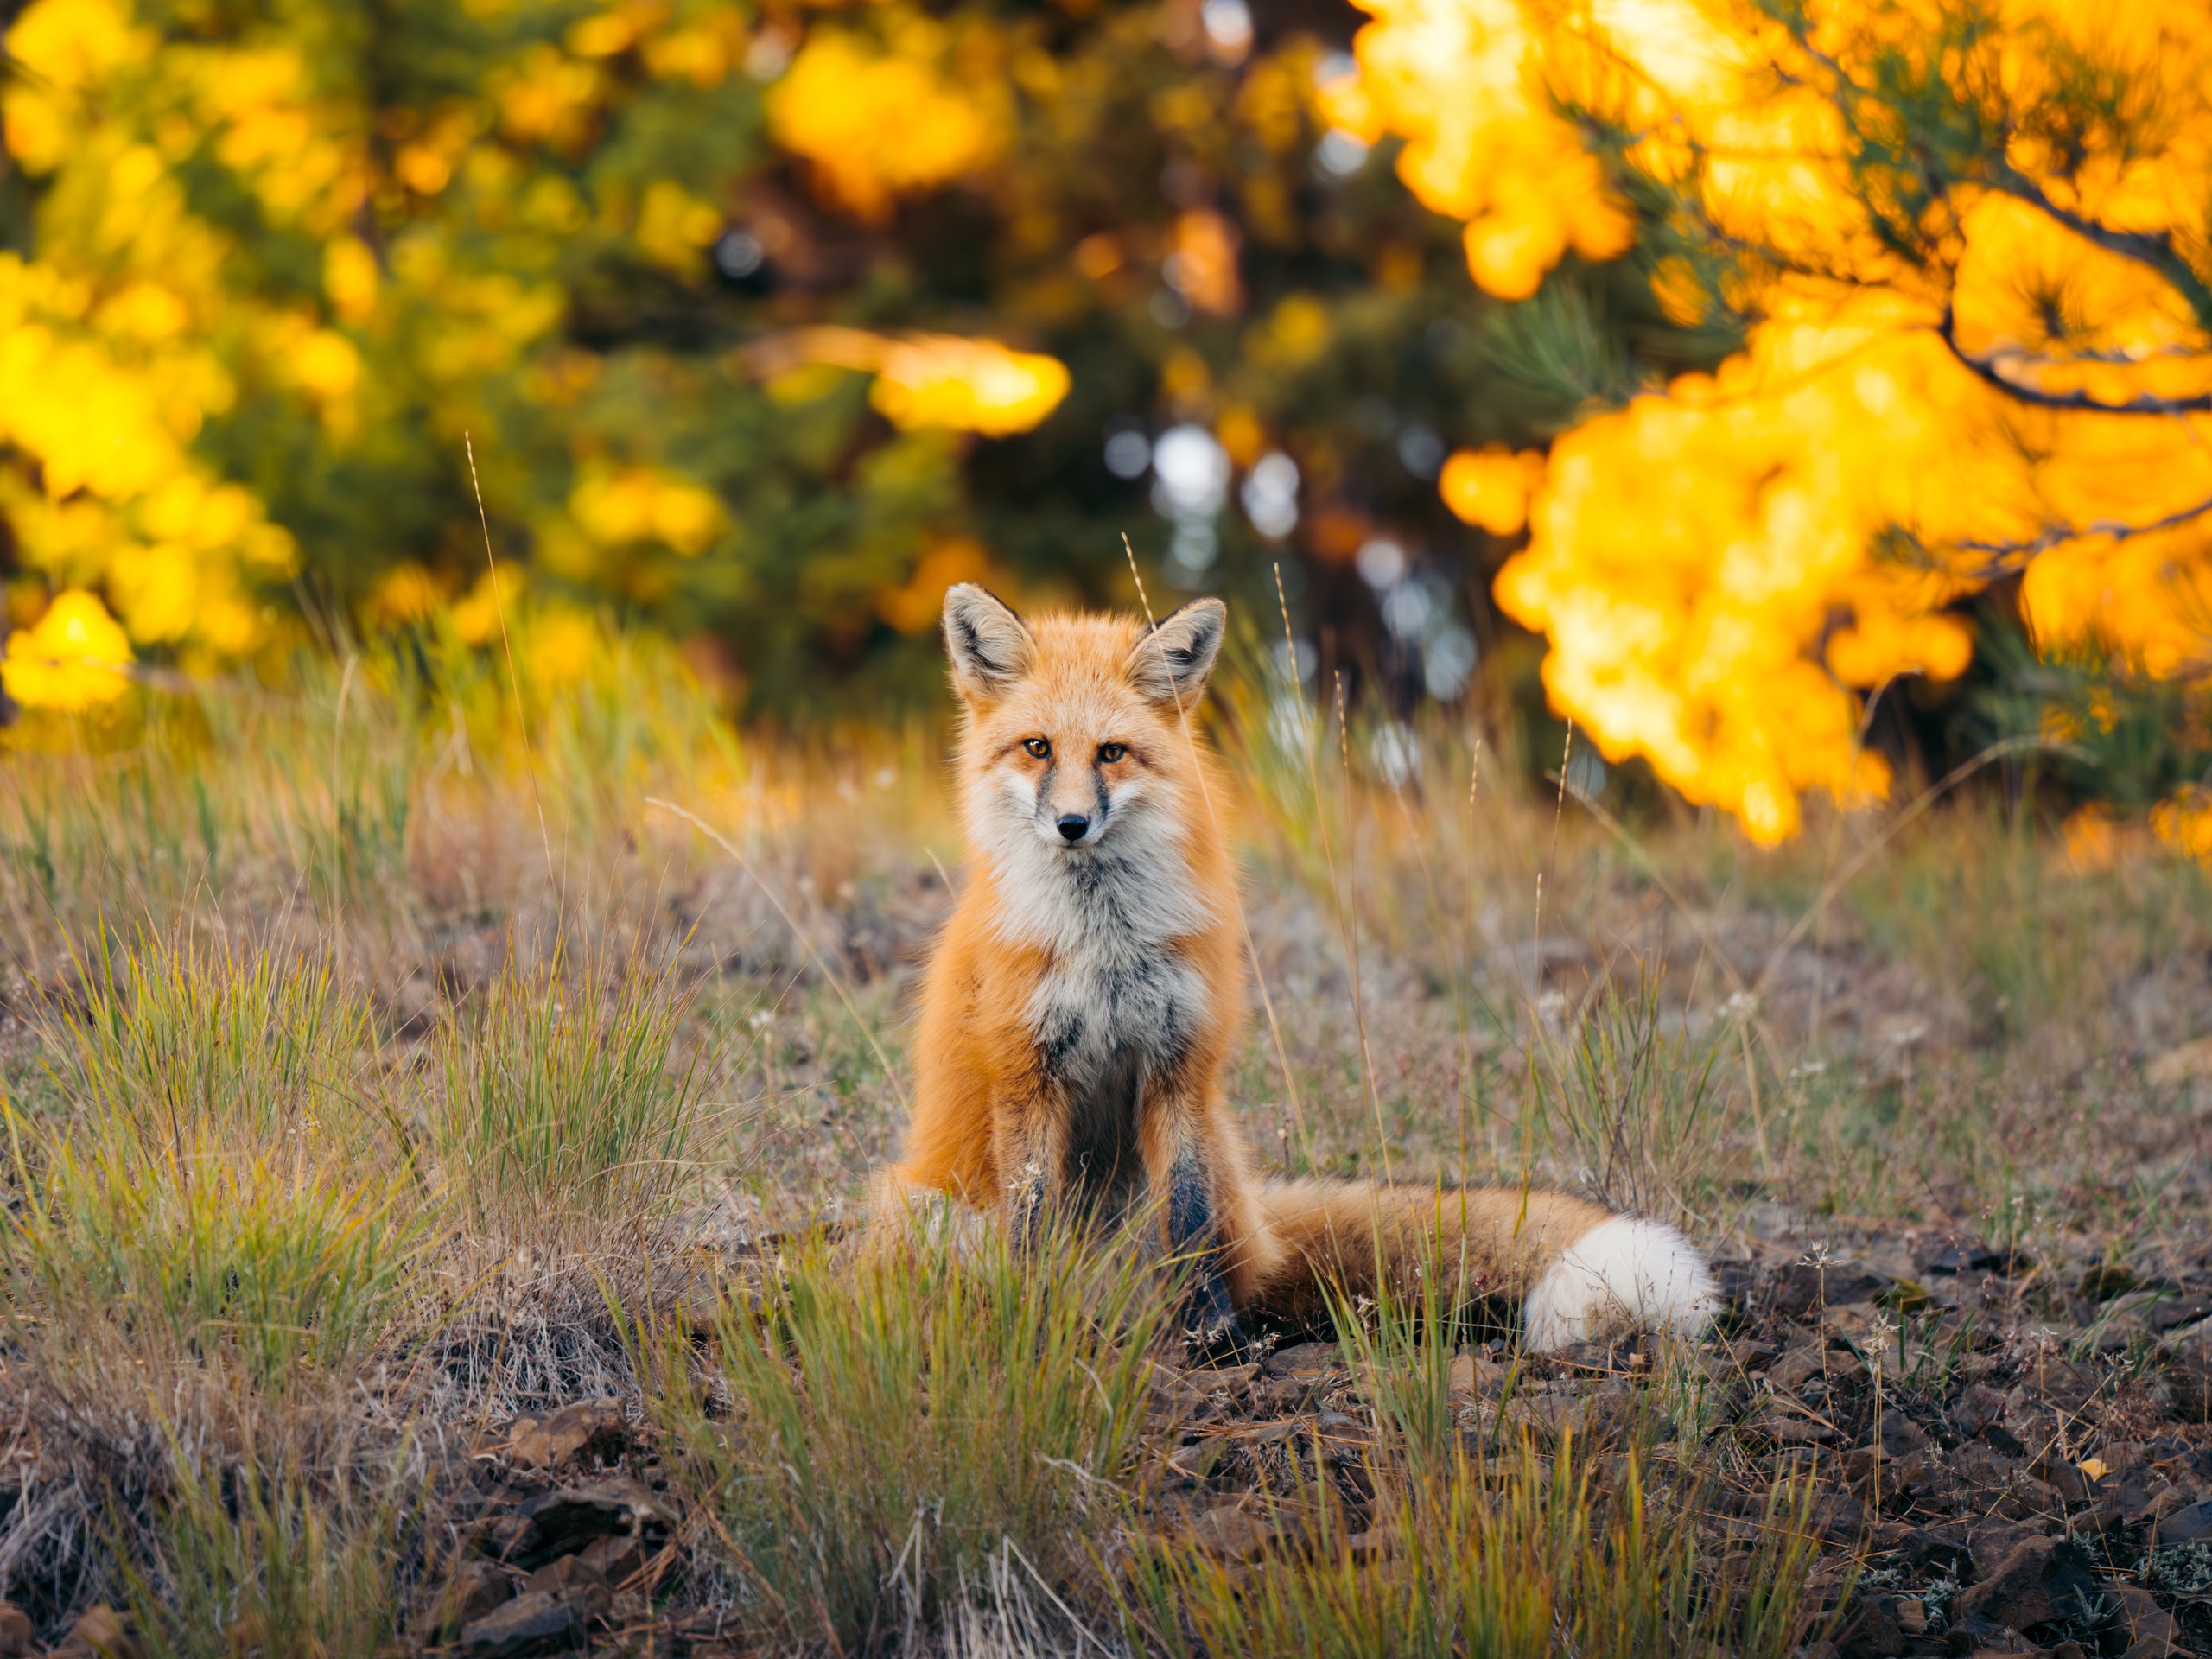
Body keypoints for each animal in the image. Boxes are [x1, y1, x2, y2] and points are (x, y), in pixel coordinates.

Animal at [872, 582, 1717, 1352]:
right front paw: (1032, 1324)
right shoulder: (1026, 1072)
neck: (1103, 942)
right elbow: (1030, 1224)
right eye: (1037, 747)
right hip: (923, 1211)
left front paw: (1213, 1335)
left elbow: (1189, 1221)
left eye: (1111, 752)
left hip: (1207, 1170)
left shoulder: (1179, 1065)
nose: (1072, 824)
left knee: (1231, 1259)